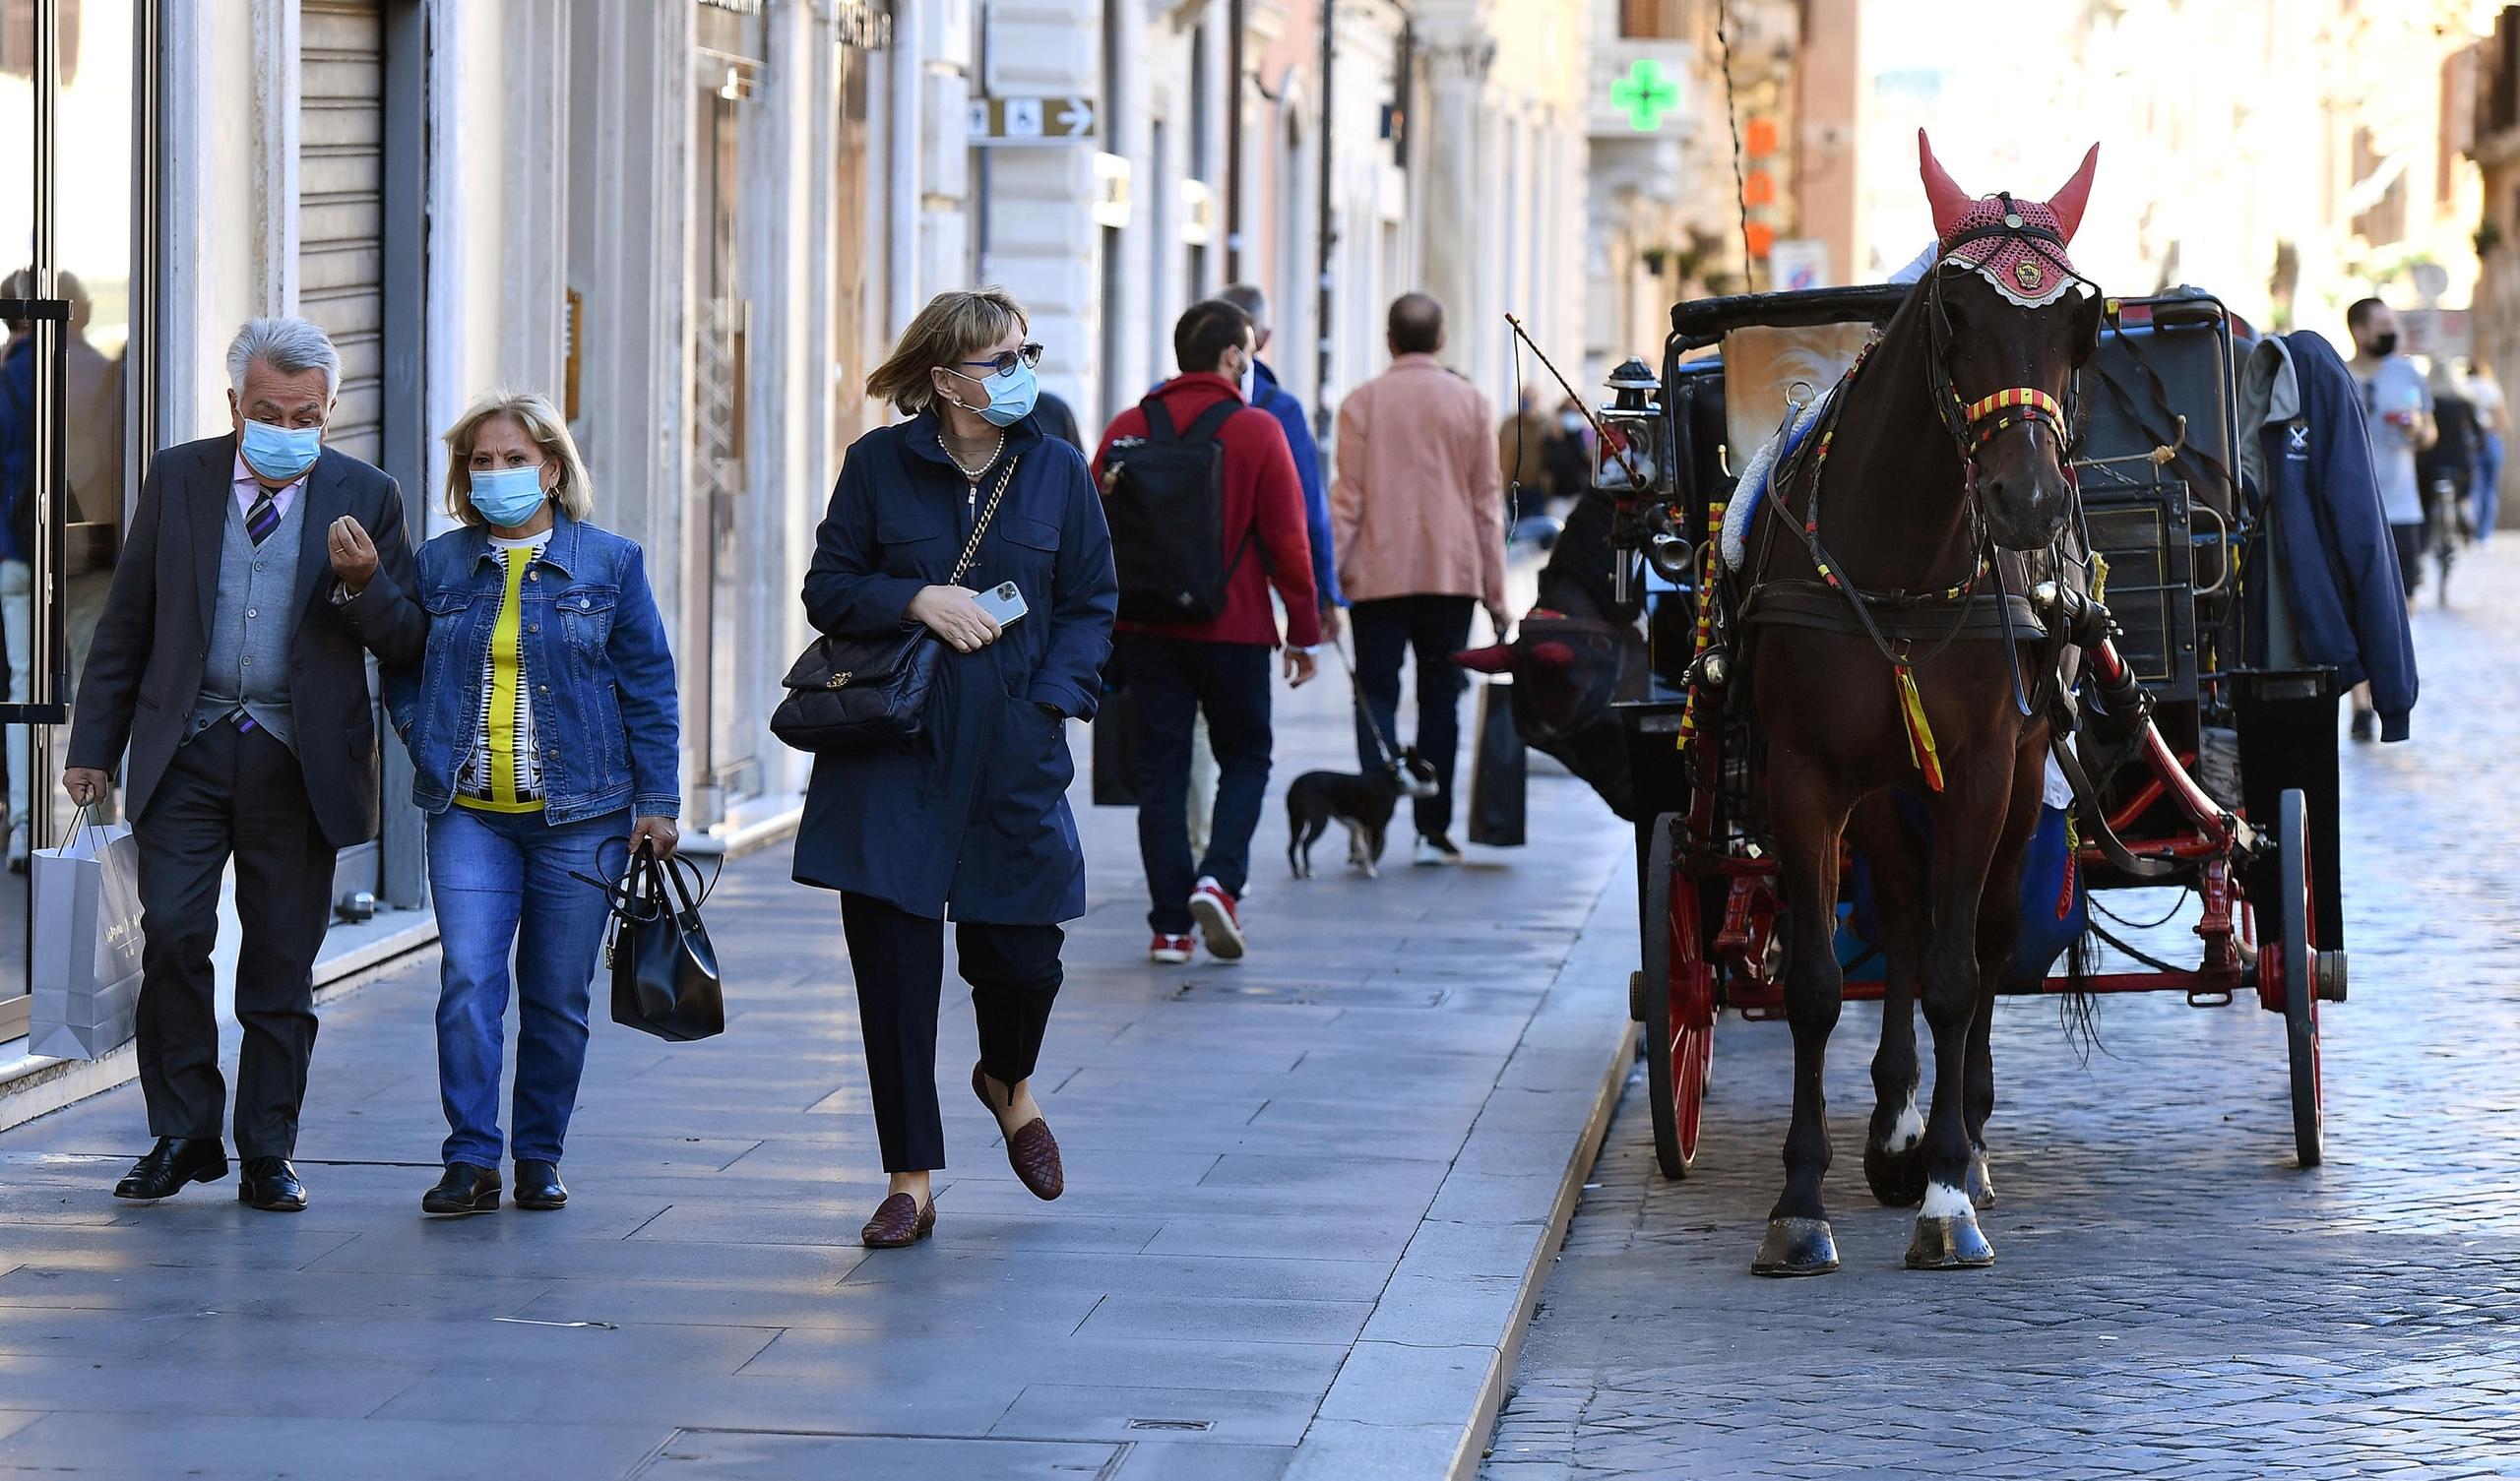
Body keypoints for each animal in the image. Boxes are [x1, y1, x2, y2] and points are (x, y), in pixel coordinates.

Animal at [1733, 133, 2107, 1279]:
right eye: (1957, 317)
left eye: (2075, 327)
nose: (2028, 502)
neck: (1897, 557)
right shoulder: (1805, 777)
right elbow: (1817, 984)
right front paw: (1799, 1202)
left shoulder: (1982, 771)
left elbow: (1954, 973)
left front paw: (1946, 1191)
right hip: (1887, 792)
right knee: (1898, 915)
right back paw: (1895, 1125)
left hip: (2012, 780)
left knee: (1978, 939)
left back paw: (1963, 1141)